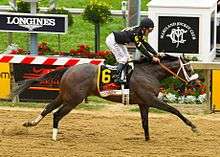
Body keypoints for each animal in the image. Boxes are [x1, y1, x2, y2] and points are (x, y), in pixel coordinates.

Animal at [12, 54, 200, 141]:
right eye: (188, 69)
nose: (197, 84)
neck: (149, 73)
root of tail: (69, 69)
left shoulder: (143, 103)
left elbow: (145, 123)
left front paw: (147, 140)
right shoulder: (151, 100)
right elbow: (174, 110)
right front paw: (193, 127)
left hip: (65, 95)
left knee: (47, 108)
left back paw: (30, 123)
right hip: (73, 100)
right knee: (56, 114)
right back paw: (54, 137)